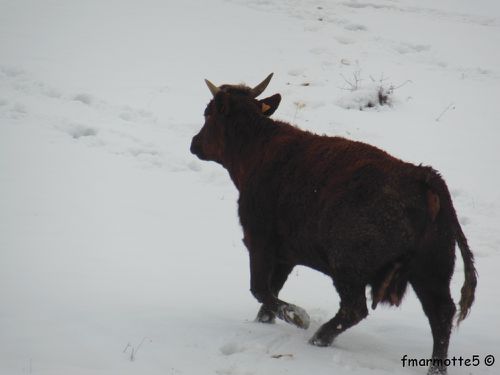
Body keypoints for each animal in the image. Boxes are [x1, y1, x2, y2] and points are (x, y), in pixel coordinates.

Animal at [190, 74, 476, 375]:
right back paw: (435, 368)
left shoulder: (259, 242)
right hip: (431, 273)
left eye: (208, 113)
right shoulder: (285, 257)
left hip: (349, 268)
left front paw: (298, 316)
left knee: (355, 309)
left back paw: (318, 338)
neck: (258, 148)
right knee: (441, 314)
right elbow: (271, 292)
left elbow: (260, 289)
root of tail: (425, 177)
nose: (194, 143)